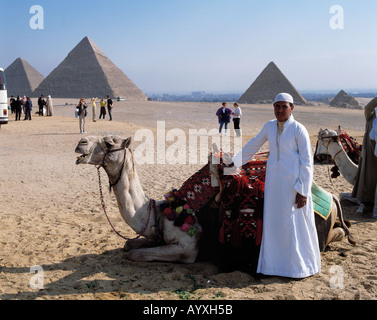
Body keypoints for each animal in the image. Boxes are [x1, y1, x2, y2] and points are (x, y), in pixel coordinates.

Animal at [75, 134, 354, 264]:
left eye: (110, 143)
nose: (81, 143)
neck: (164, 210)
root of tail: (330, 197)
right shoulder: (158, 234)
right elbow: (129, 245)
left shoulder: (187, 248)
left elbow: (135, 254)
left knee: (333, 236)